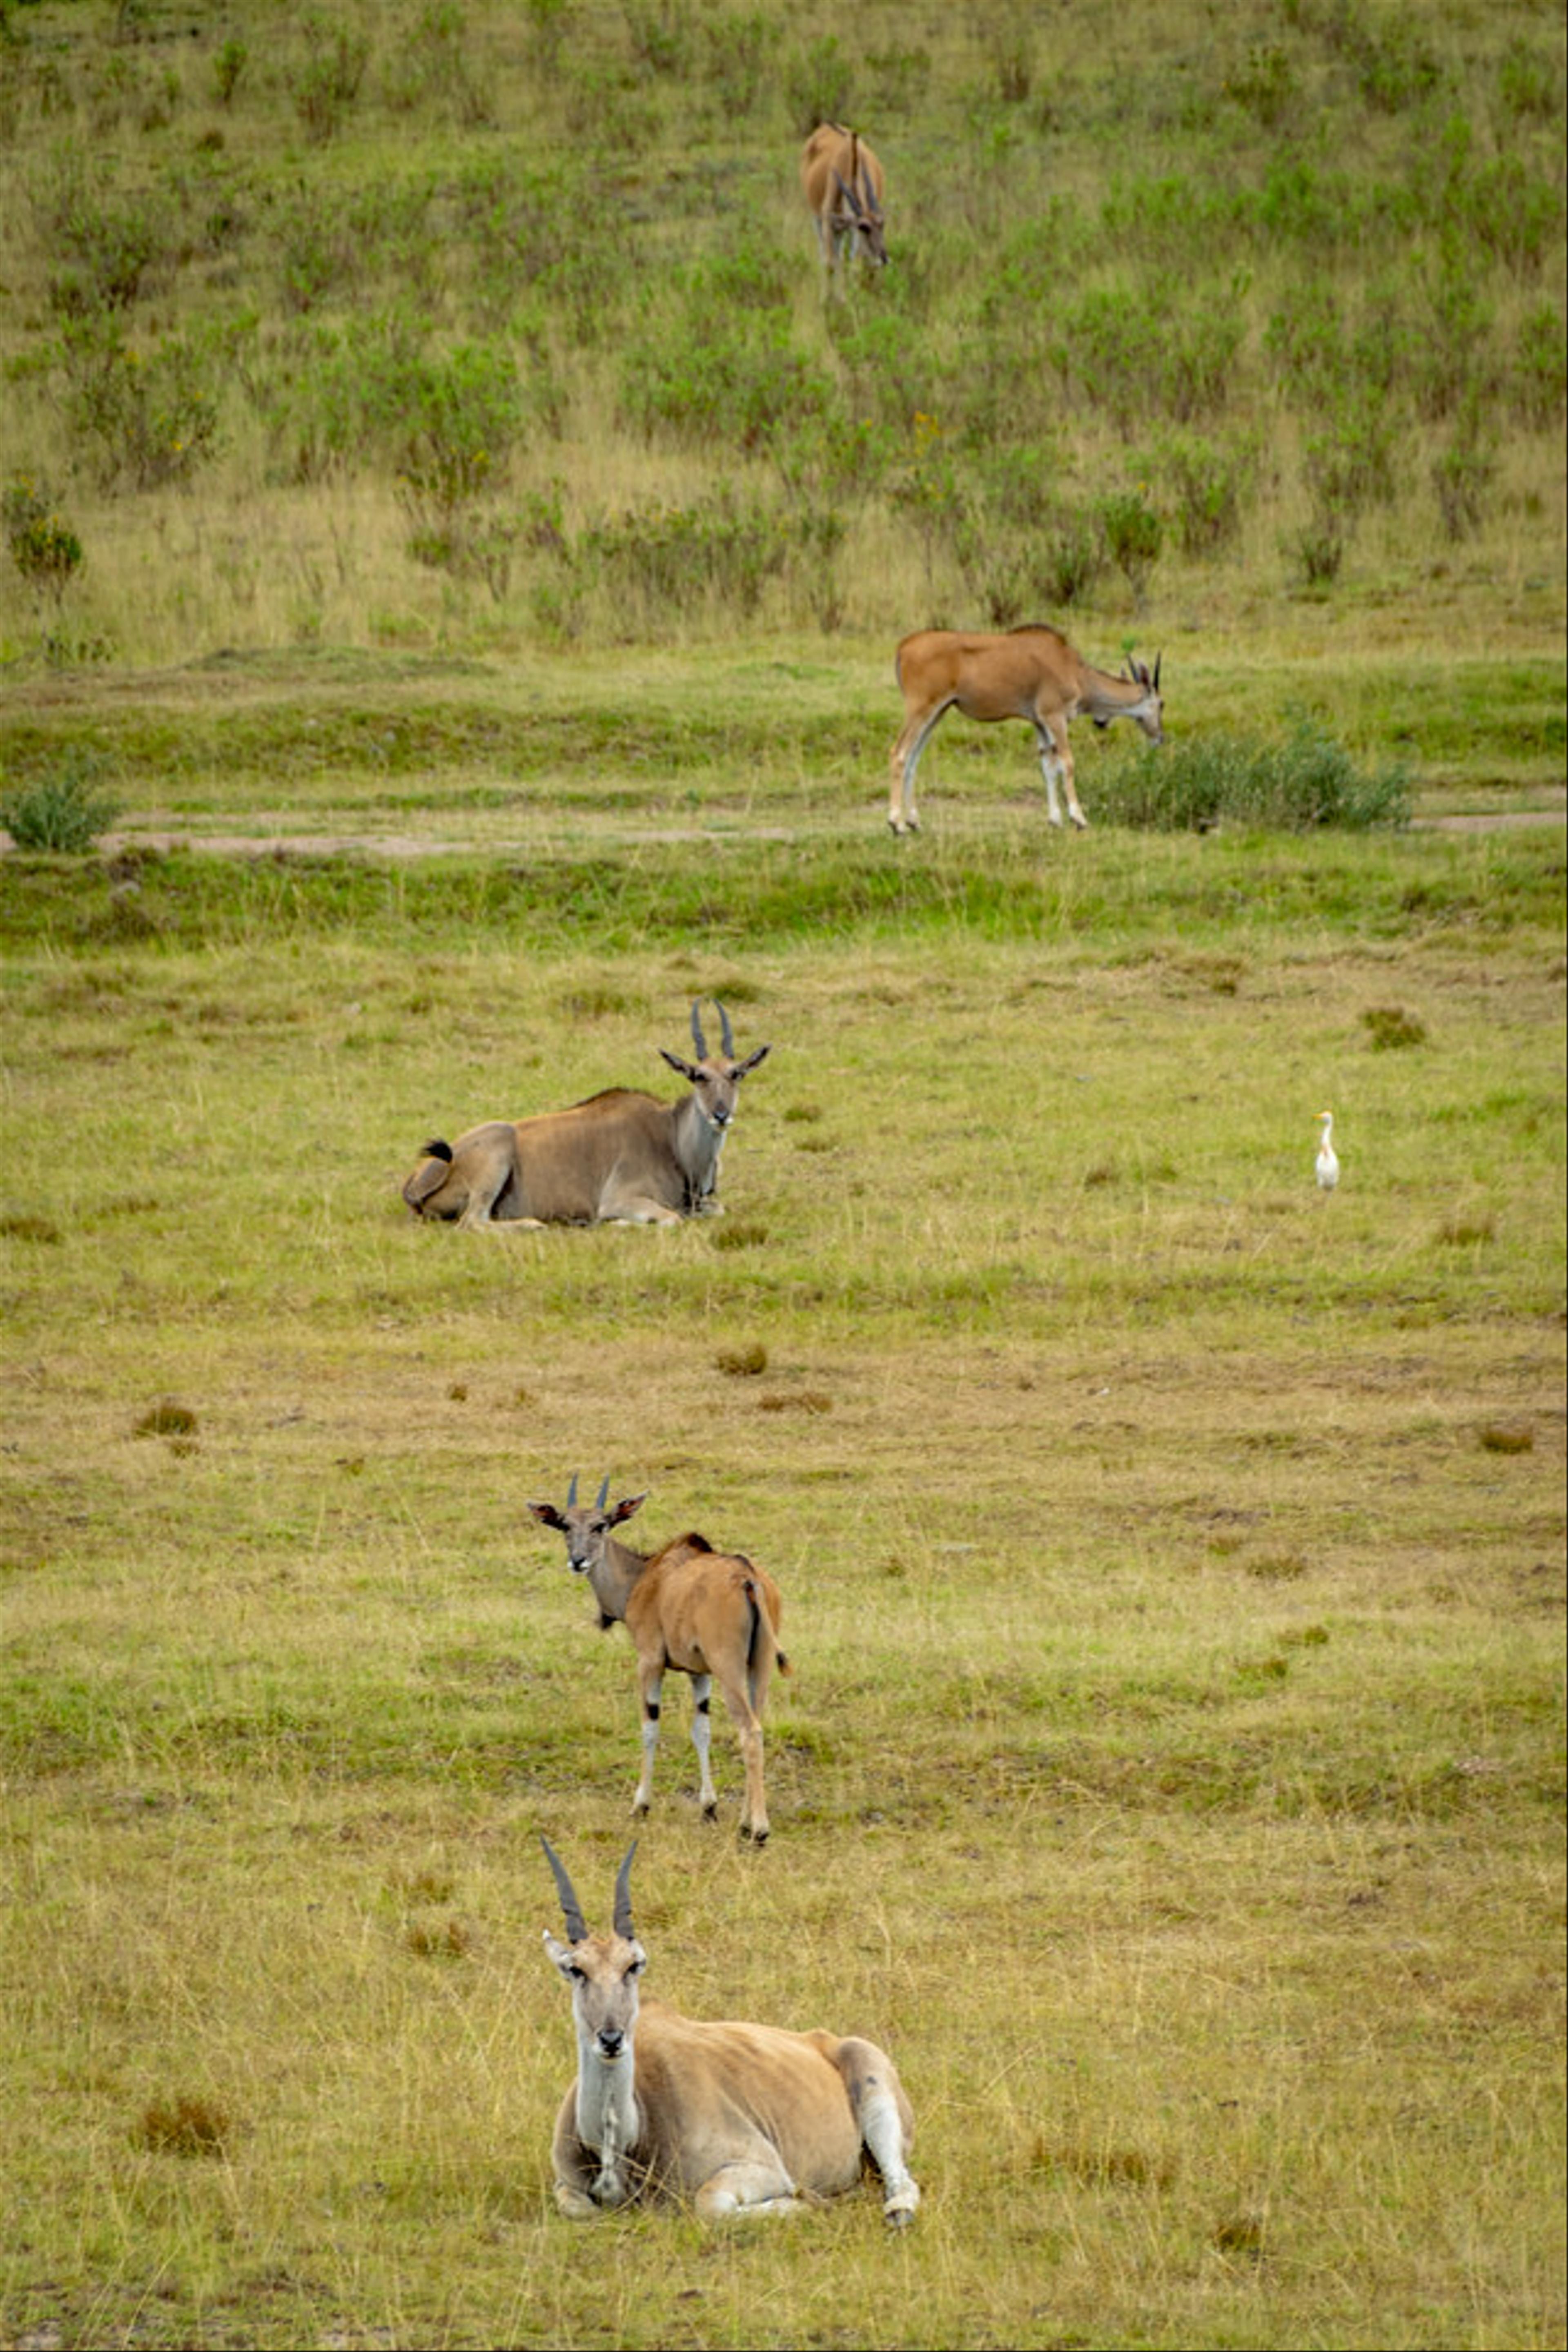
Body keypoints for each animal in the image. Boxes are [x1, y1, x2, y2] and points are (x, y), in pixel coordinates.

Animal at [531, 1477, 799, 1844]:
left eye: (601, 1526)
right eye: (565, 1526)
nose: (578, 1561)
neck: (643, 1577)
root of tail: (750, 1579)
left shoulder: (650, 1661)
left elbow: (650, 1728)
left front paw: (641, 1806)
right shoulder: (699, 1673)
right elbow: (701, 1730)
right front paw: (709, 1807)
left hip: (728, 1668)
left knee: (750, 1730)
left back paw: (759, 1829)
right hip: (759, 1667)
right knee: (756, 1724)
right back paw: (746, 1821)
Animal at [541, 1834, 921, 2220]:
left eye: (632, 1966)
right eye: (577, 1970)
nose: (611, 2039)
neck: (624, 2140)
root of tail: (829, 2042)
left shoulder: (764, 2168)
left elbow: (710, 2203)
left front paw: (804, 2203)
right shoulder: (565, 2186)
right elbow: (578, 2207)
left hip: (878, 2101)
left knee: (902, 2181)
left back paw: (897, 2210)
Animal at [804, 122, 889, 283]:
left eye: (882, 224)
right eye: (864, 227)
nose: (884, 259)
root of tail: (825, 126)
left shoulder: (851, 229)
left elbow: (853, 265)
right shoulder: (830, 225)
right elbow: (830, 266)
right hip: (819, 222)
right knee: (828, 257)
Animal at [884, 626, 1166, 837]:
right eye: (1162, 704)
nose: (1160, 738)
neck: (1075, 670)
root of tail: (904, 646)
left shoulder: (1040, 723)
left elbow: (1048, 767)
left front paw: (1055, 820)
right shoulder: (1055, 717)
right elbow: (1067, 762)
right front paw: (1078, 818)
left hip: (937, 712)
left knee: (913, 759)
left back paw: (914, 821)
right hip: (921, 708)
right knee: (899, 753)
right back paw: (897, 824)